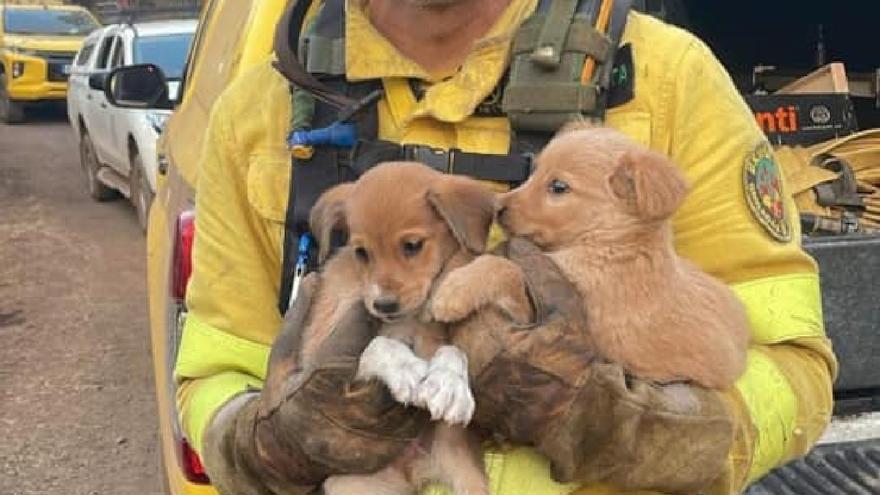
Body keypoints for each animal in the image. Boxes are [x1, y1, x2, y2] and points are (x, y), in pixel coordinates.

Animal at [304, 163, 496, 495]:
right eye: (361, 252)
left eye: (412, 246)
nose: (383, 305)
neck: (409, 320)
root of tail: (411, 470)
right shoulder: (320, 354)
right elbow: (378, 345)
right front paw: (409, 370)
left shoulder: (434, 336)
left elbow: (452, 350)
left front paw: (450, 384)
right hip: (352, 484)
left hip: (460, 463)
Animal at [430, 125, 744, 392]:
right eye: (535, 172)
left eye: (558, 187)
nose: (497, 207)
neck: (611, 244)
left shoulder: (541, 306)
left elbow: (506, 267)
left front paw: (455, 290)